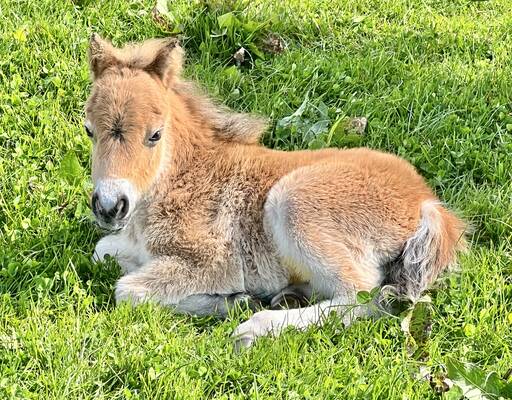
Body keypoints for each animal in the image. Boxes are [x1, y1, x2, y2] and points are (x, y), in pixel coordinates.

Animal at [86, 34, 466, 346]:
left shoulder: (212, 262)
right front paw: (238, 300)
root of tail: (425, 202)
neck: (183, 178)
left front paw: (236, 301)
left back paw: (255, 327)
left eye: (155, 135)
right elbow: (102, 251)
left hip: (293, 203)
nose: (109, 206)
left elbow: (128, 290)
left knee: (364, 296)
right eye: (89, 129)